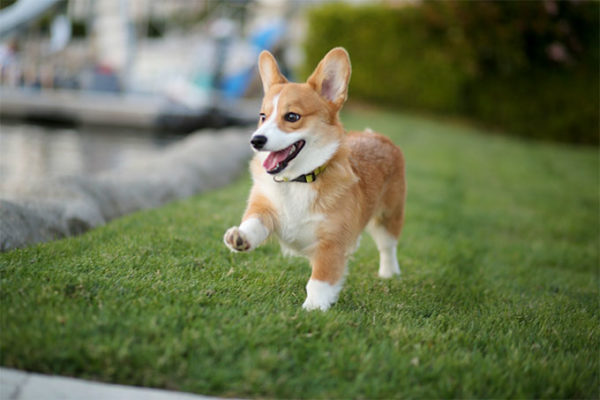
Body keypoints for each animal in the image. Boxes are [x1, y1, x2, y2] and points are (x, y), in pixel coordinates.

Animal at [225, 46, 408, 310]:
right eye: (262, 116)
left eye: (292, 117)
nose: (256, 140)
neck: (298, 180)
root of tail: (377, 136)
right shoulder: (264, 207)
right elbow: (254, 222)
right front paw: (241, 237)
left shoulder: (331, 243)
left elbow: (320, 280)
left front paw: (313, 309)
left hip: (389, 216)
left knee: (388, 246)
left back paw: (389, 273)